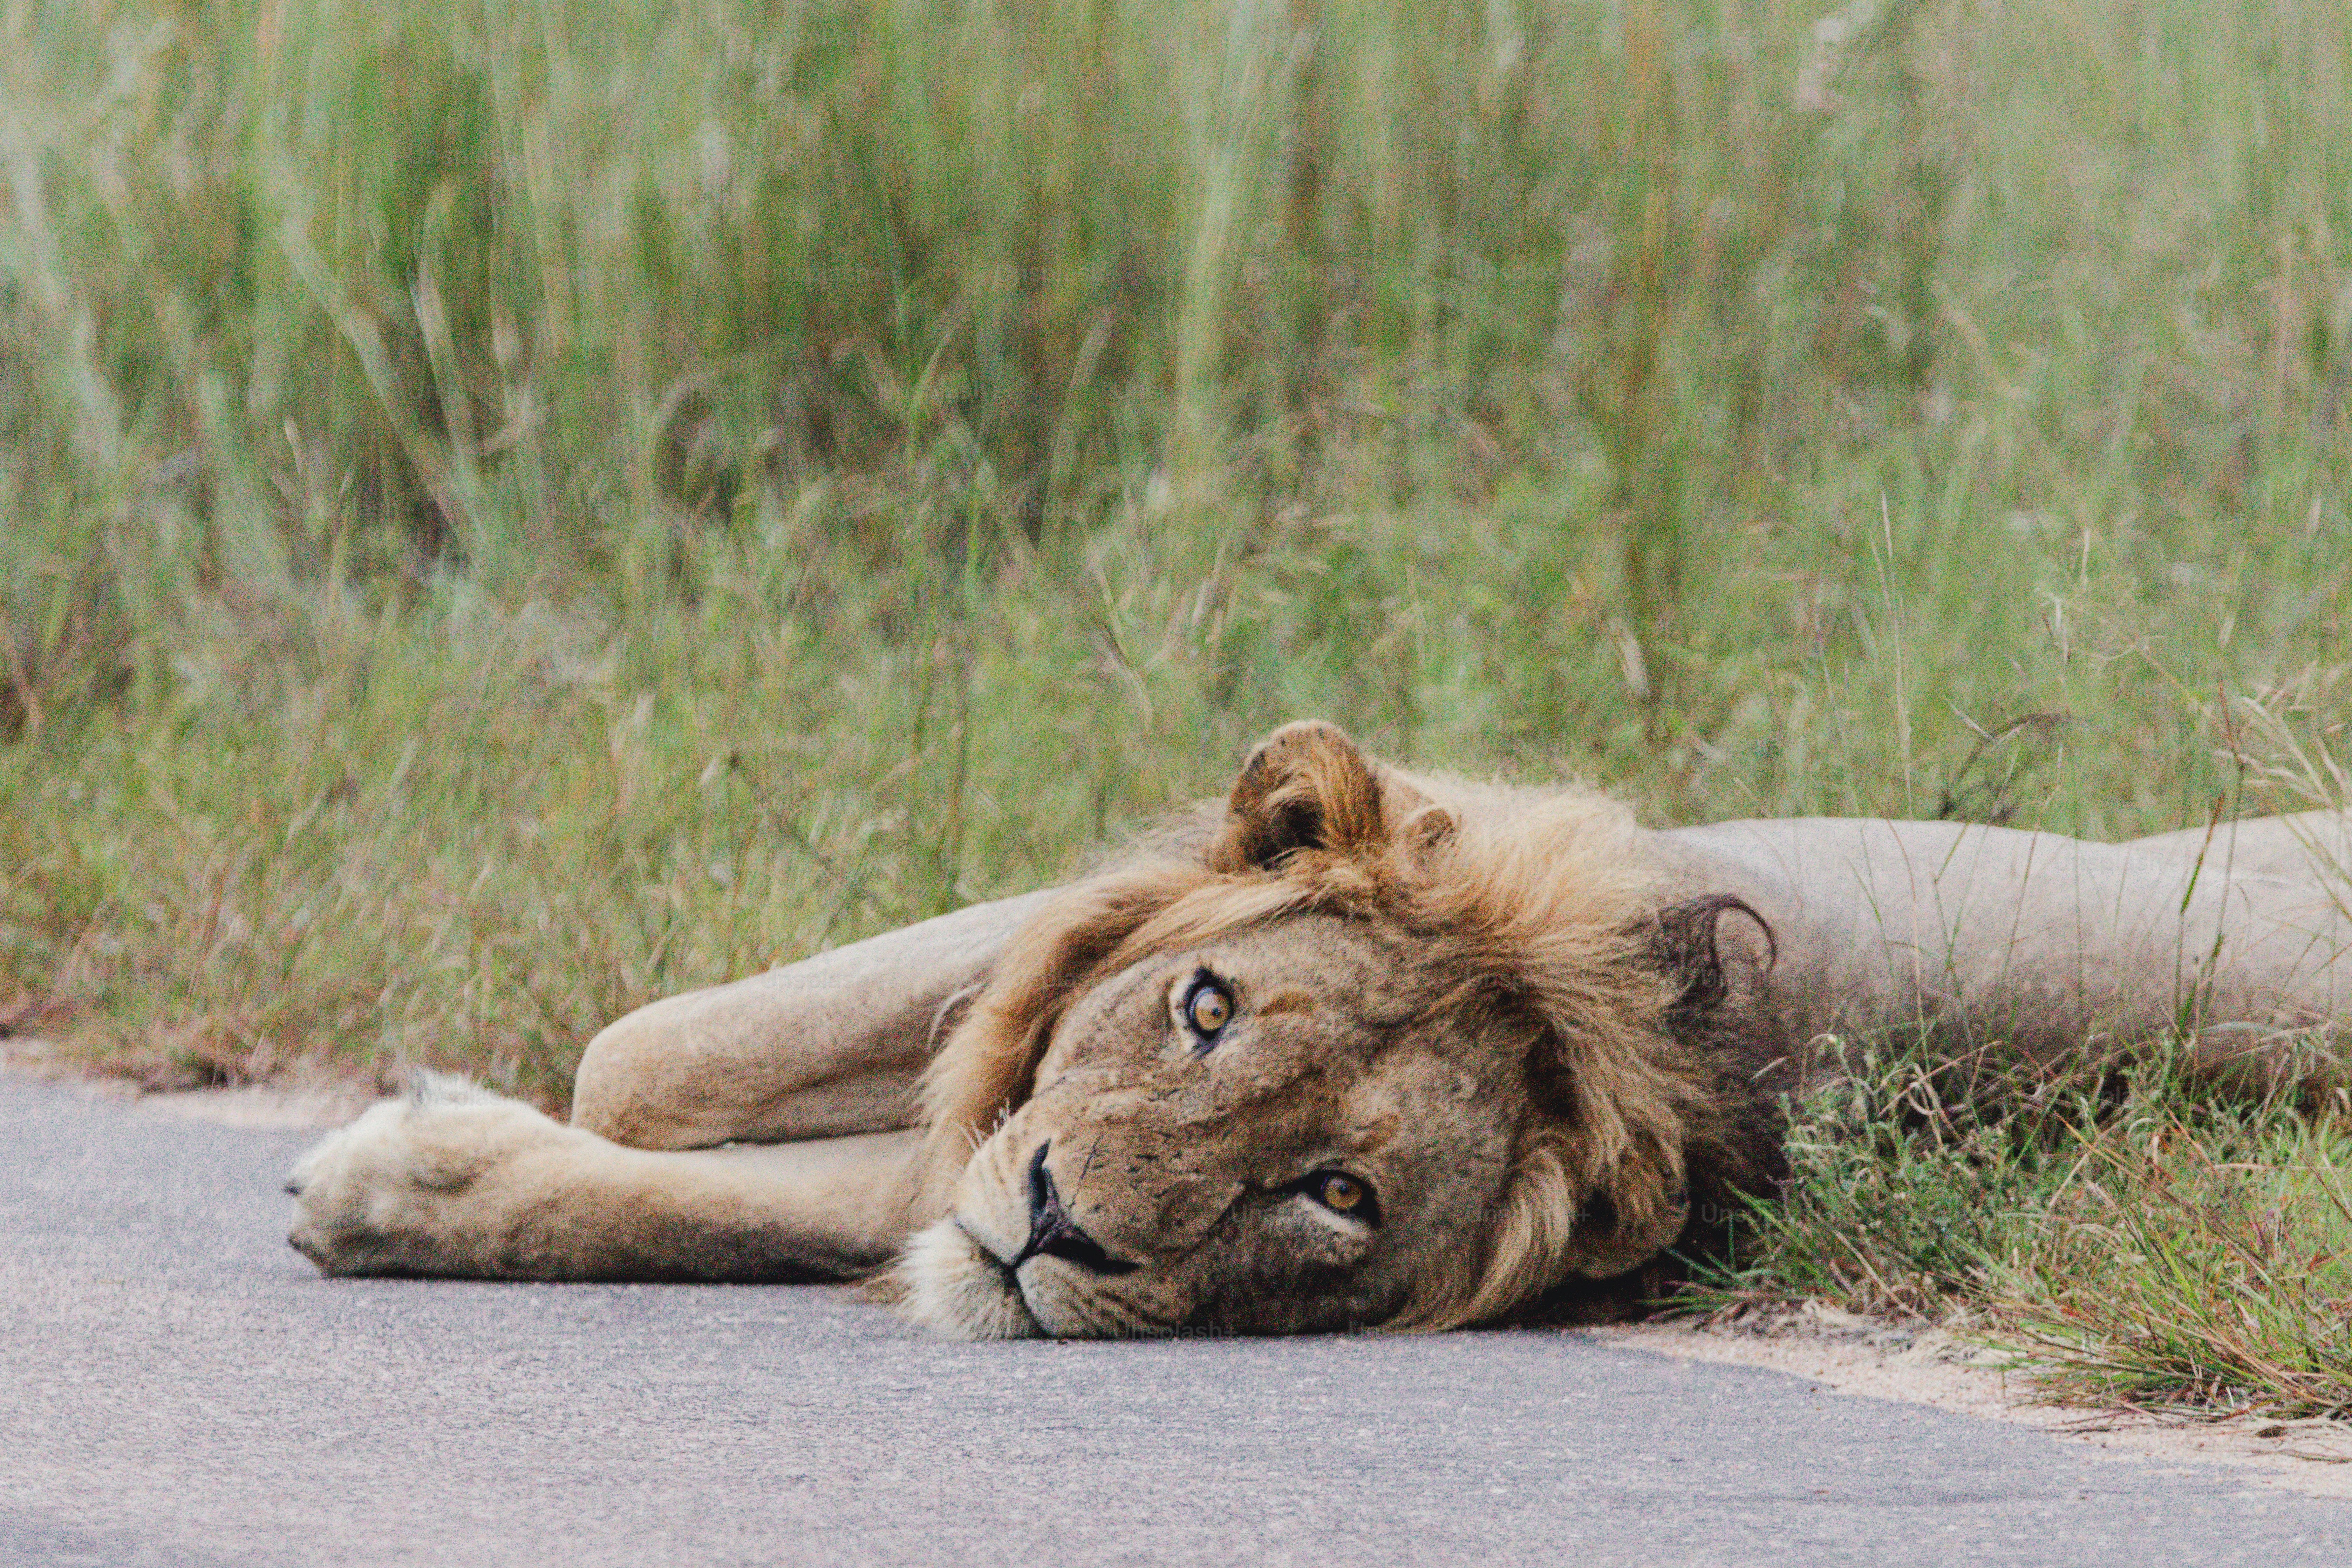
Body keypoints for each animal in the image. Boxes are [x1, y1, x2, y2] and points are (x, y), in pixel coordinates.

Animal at [285, 721, 2352, 1337]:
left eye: (1332, 1193)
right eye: (1203, 1008)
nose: (1060, 1226)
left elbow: (675, 1093)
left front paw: (397, 1168)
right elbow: (661, 1065)